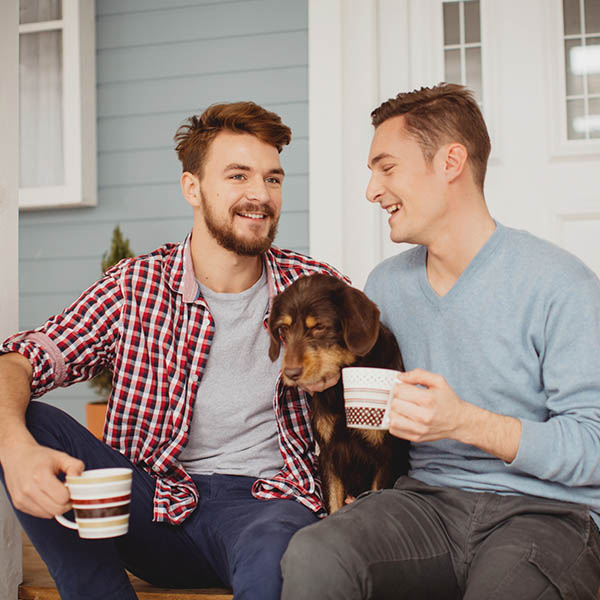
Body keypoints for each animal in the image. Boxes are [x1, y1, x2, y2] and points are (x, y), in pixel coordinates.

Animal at [270, 274, 410, 512]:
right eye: (283, 330)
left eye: (319, 327)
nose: (290, 373)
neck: (342, 386)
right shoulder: (328, 455)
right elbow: (333, 505)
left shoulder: (385, 458)